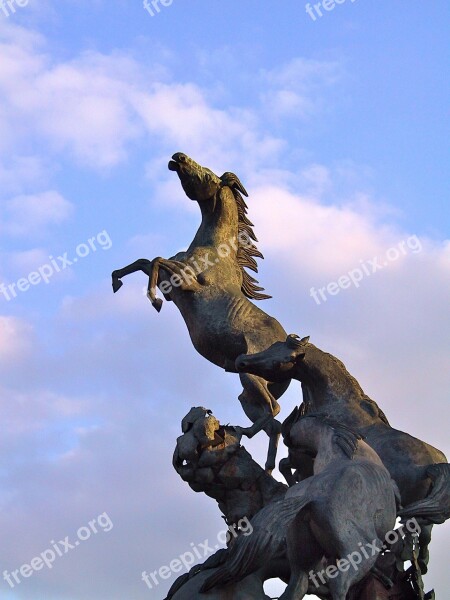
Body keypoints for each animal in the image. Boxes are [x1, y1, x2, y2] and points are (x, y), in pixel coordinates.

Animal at [110, 152, 290, 472]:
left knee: (276, 409)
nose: (177, 157)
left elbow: (156, 261)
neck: (214, 248)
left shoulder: (188, 283)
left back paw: (239, 433)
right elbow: (144, 261)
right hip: (247, 394)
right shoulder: (175, 281)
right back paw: (265, 463)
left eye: (207, 173)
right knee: (274, 423)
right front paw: (116, 279)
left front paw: (153, 300)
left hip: (251, 376)